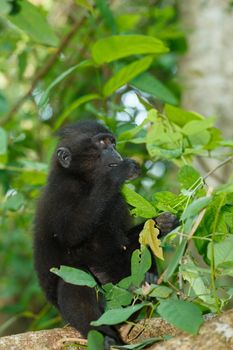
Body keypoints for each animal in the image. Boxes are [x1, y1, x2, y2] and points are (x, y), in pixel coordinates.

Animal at [33, 120, 177, 348]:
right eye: (102, 143)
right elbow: (71, 233)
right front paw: (117, 174)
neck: (85, 180)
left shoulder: (116, 199)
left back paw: (146, 279)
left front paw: (161, 224)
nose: (115, 153)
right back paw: (104, 335)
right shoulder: (63, 190)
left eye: (113, 143)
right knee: (75, 280)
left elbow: (124, 243)